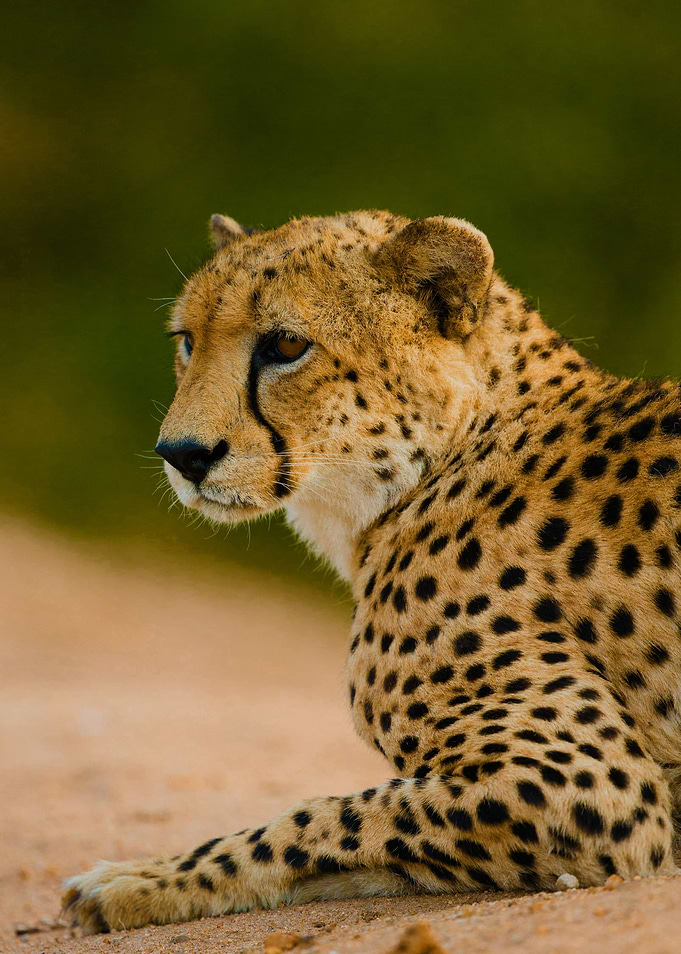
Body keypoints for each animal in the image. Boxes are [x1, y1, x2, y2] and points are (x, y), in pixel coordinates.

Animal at [63, 209, 681, 934]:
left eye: (285, 344)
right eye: (187, 340)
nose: (182, 454)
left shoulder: (588, 786)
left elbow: (318, 818)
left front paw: (141, 879)